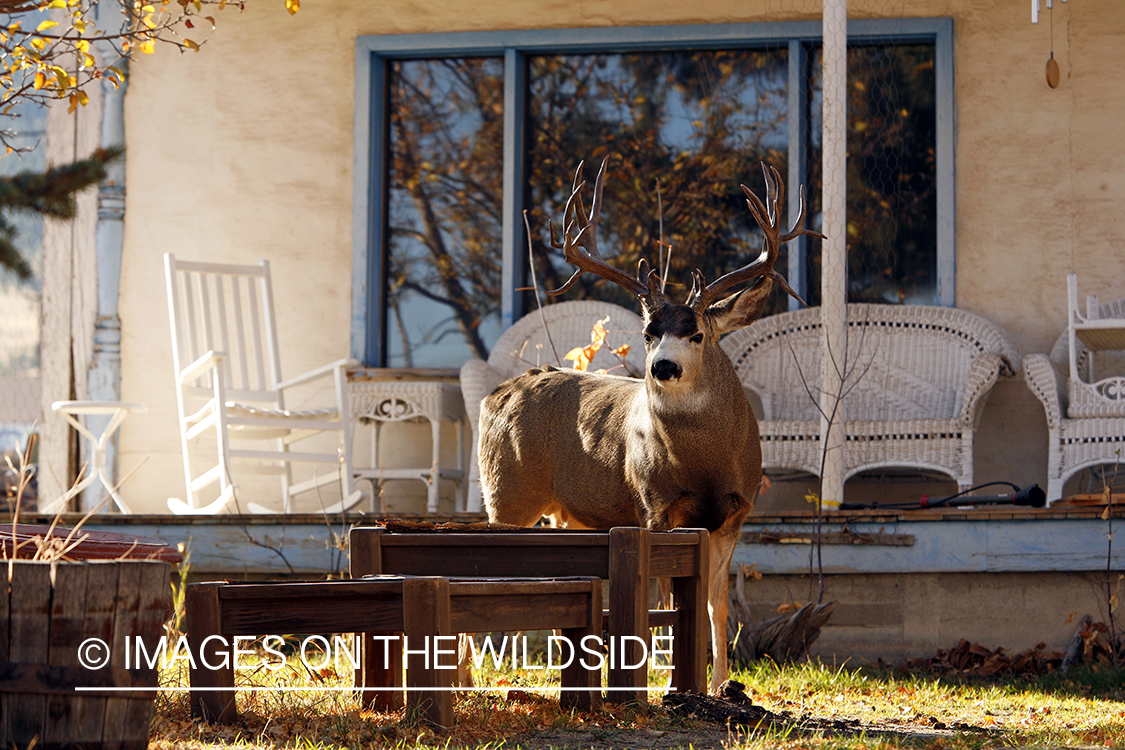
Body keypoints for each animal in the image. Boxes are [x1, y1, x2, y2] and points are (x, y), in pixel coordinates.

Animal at [477, 157, 823, 695]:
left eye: (697, 334)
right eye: (648, 333)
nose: (663, 366)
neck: (704, 467)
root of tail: (494, 395)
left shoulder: (735, 514)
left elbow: (715, 606)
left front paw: (721, 684)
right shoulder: (654, 507)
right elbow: (663, 603)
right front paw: (663, 679)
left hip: (562, 513)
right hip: (506, 492)